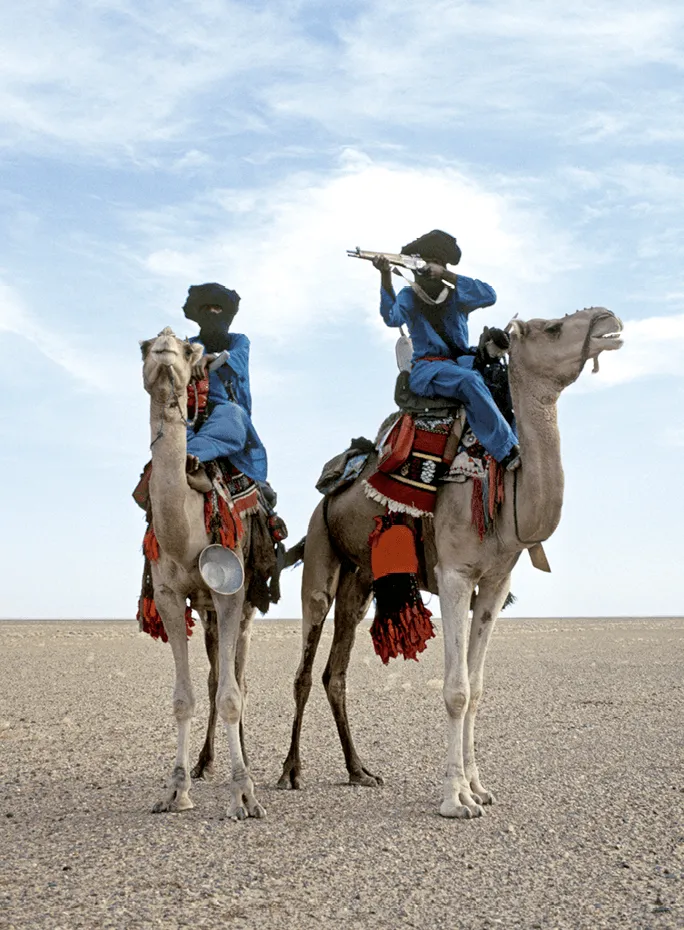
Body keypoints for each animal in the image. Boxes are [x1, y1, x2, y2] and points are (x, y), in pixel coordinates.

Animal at [139, 326, 264, 820]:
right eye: (143, 345)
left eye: (189, 349)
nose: (163, 347)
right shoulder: (170, 596)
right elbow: (184, 698)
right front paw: (177, 789)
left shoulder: (230, 593)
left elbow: (231, 696)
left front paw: (244, 793)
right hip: (206, 610)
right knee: (214, 678)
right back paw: (206, 762)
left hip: (242, 609)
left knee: (238, 679)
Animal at [280, 304, 624, 812]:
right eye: (554, 327)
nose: (609, 319)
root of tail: (331, 487)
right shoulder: (454, 575)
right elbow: (456, 690)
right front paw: (455, 798)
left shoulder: (494, 584)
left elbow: (477, 689)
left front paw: (479, 787)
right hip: (321, 548)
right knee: (306, 662)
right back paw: (290, 772)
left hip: (359, 579)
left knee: (335, 671)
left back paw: (360, 771)